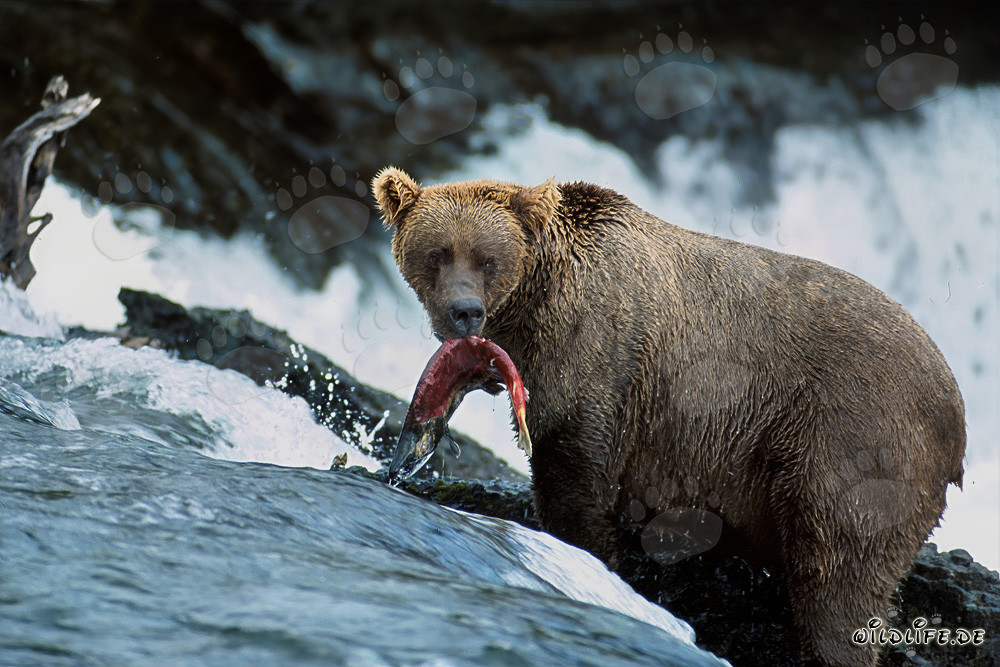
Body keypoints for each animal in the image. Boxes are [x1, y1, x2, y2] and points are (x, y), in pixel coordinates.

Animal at [372, 166, 966, 667]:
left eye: (487, 258)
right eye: (436, 254)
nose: (464, 311)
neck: (535, 306)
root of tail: (956, 408)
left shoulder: (599, 362)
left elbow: (578, 487)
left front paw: (591, 559)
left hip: (851, 435)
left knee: (837, 570)